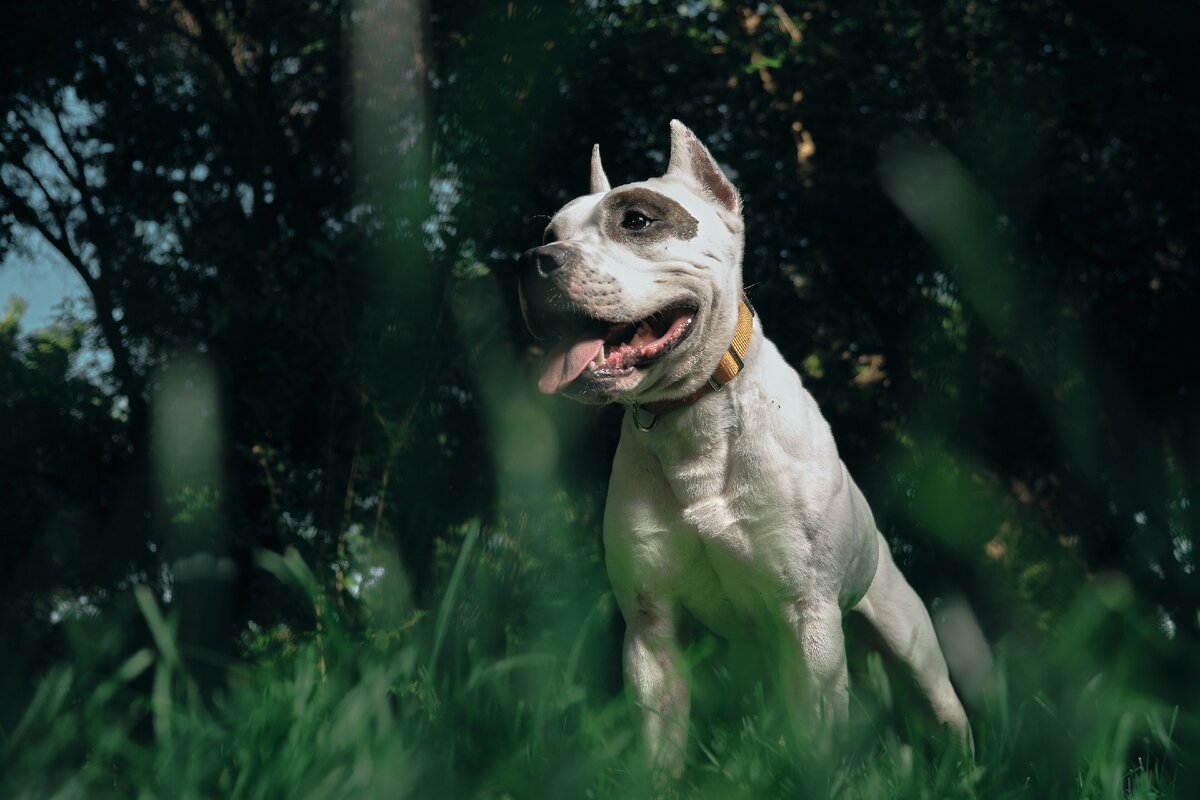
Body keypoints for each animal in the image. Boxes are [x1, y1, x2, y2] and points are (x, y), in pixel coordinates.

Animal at [520, 120, 969, 777]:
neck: (694, 419)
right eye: (549, 234)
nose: (534, 262)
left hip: (915, 655)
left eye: (637, 220)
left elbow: (819, 741)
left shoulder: (808, 619)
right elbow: (660, 745)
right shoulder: (652, 631)